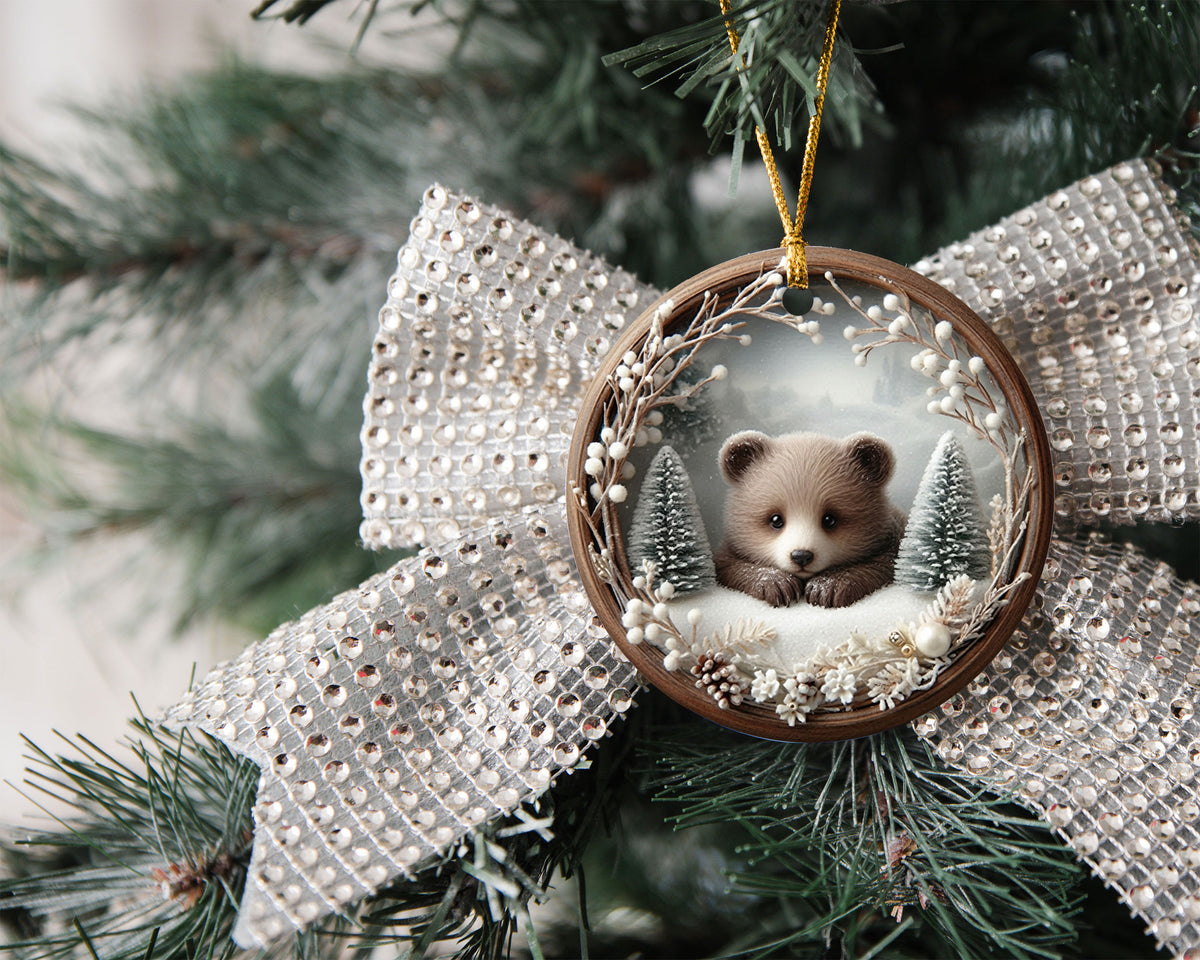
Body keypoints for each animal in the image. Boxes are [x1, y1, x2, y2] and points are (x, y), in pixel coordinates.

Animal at [713, 430, 907, 609]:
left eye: (829, 519)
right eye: (776, 519)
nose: (801, 556)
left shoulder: (894, 534)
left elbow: (884, 563)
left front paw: (829, 586)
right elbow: (728, 565)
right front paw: (776, 583)